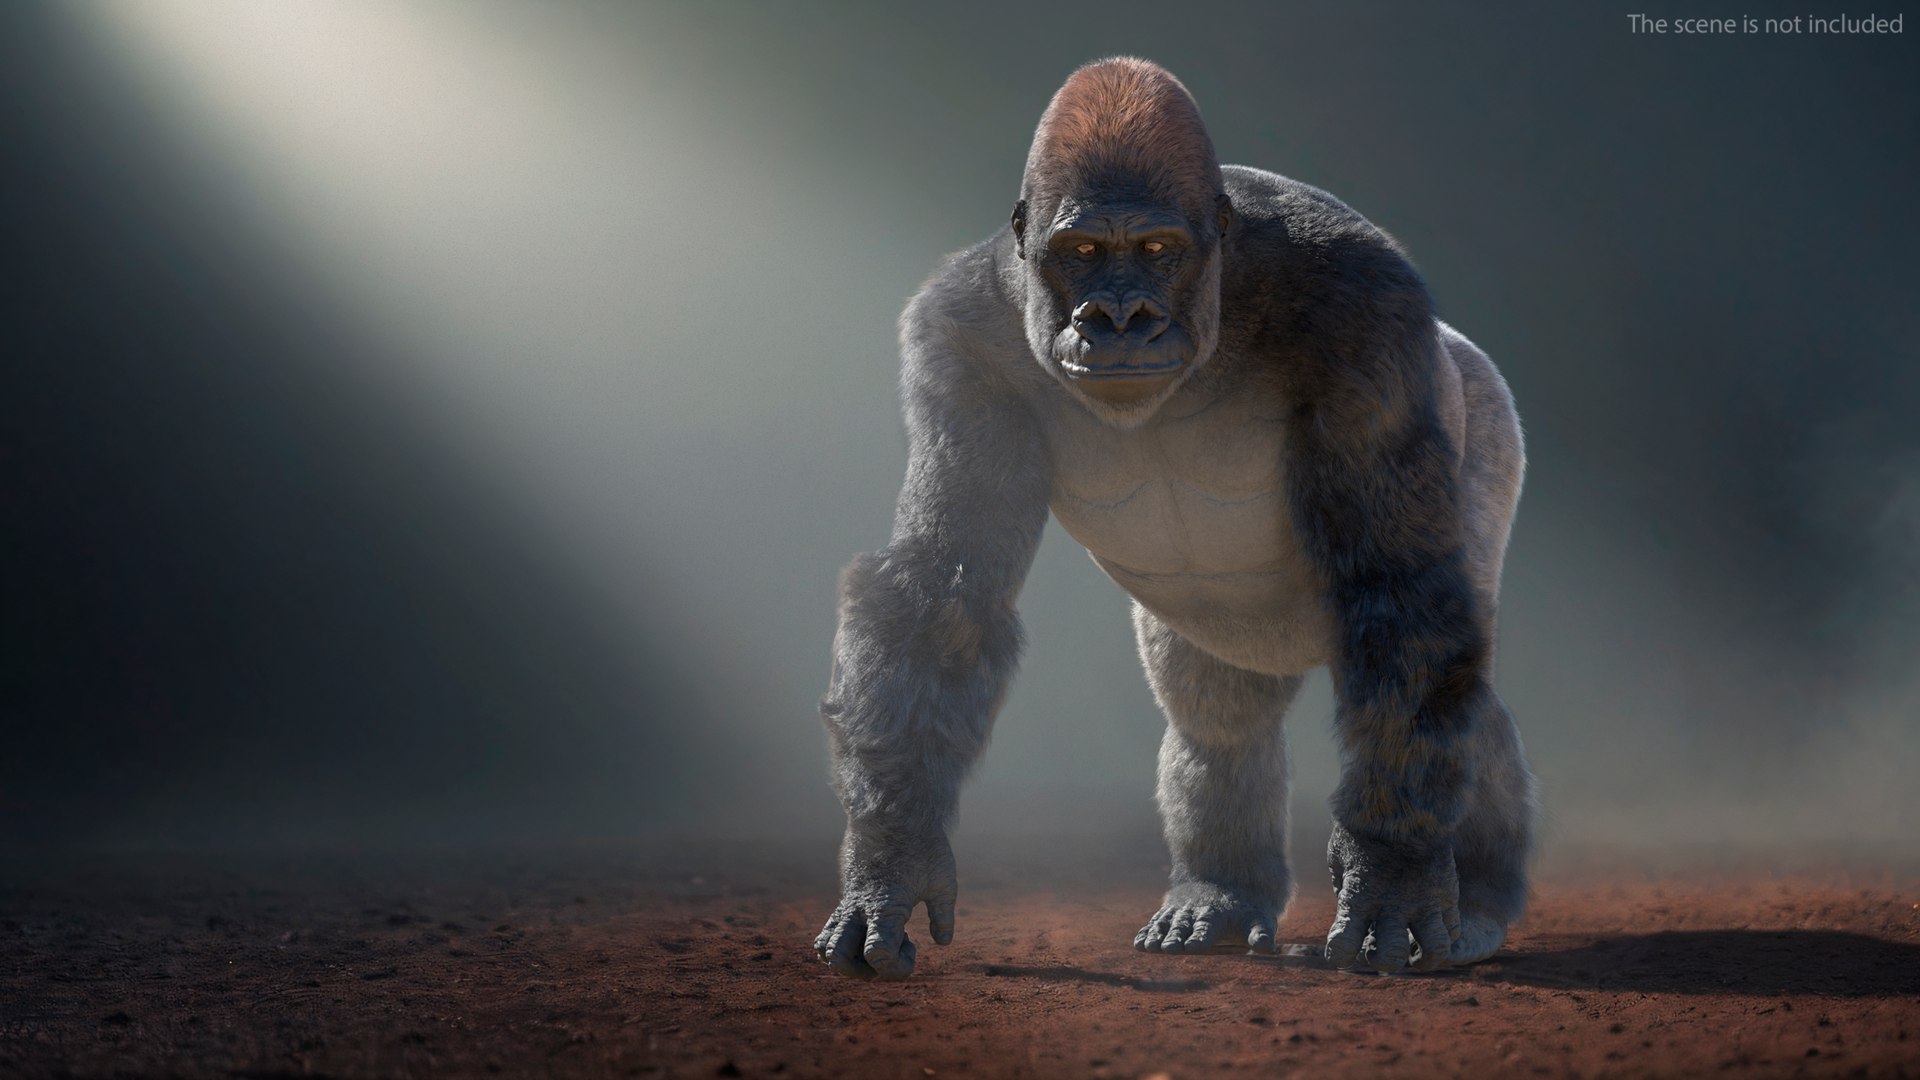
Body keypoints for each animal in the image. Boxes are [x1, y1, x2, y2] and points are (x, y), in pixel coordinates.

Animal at [814, 57, 1533, 980]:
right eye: (1082, 253)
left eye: (1158, 251)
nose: (1120, 318)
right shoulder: (957, 331)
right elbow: (942, 594)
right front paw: (891, 860)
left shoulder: (1369, 310)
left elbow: (1398, 587)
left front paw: (1394, 873)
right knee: (1215, 711)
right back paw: (1217, 895)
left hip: (1480, 396)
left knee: (1452, 668)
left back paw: (1477, 902)